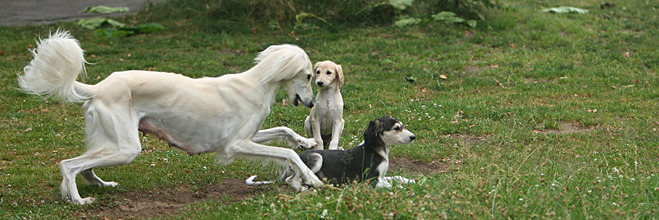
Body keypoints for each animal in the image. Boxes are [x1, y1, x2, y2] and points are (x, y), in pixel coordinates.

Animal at [20, 30, 328, 205]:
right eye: (308, 76)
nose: (312, 102)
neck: (257, 83)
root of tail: (99, 87)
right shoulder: (236, 145)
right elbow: (288, 154)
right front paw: (312, 179)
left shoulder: (247, 138)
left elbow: (284, 131)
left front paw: (306, 142)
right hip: (126, 148)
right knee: (68, 165)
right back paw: (78, 201)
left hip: (113, 142)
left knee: (85, 165)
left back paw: (101, 185)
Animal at [248, 116, 418, 190]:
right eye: (397, 128)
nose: (413, 137)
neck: (376, 149)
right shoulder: (369, 180)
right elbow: (390, 183)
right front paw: (402, 188)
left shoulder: (380, 176)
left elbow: (396, 178)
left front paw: (410, 181)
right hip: (316, 158)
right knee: (292, 180)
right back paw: (306, 186)